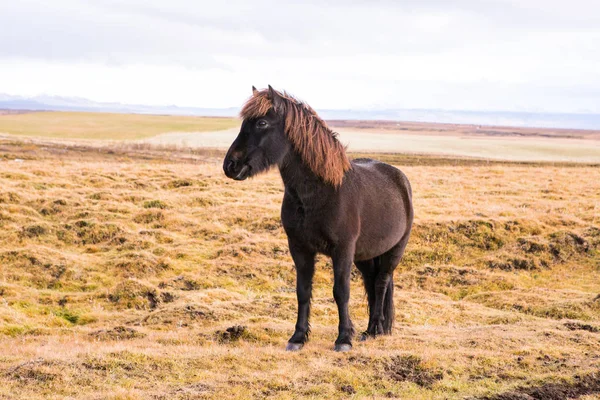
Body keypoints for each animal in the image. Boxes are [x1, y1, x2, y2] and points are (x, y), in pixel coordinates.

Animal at [223, 86, 414, 352]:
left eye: (262, 122)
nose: (230, 165)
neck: (320, 192)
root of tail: (399, 179)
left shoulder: (342, 250)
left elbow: (341, 292)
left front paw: (343, 339)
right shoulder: (300, 248)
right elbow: (303, 291)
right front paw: (298, 337)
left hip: (394, 251)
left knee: (381, 283)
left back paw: (375, 329)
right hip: (366, 256)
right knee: (372, 284)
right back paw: (370, 330)